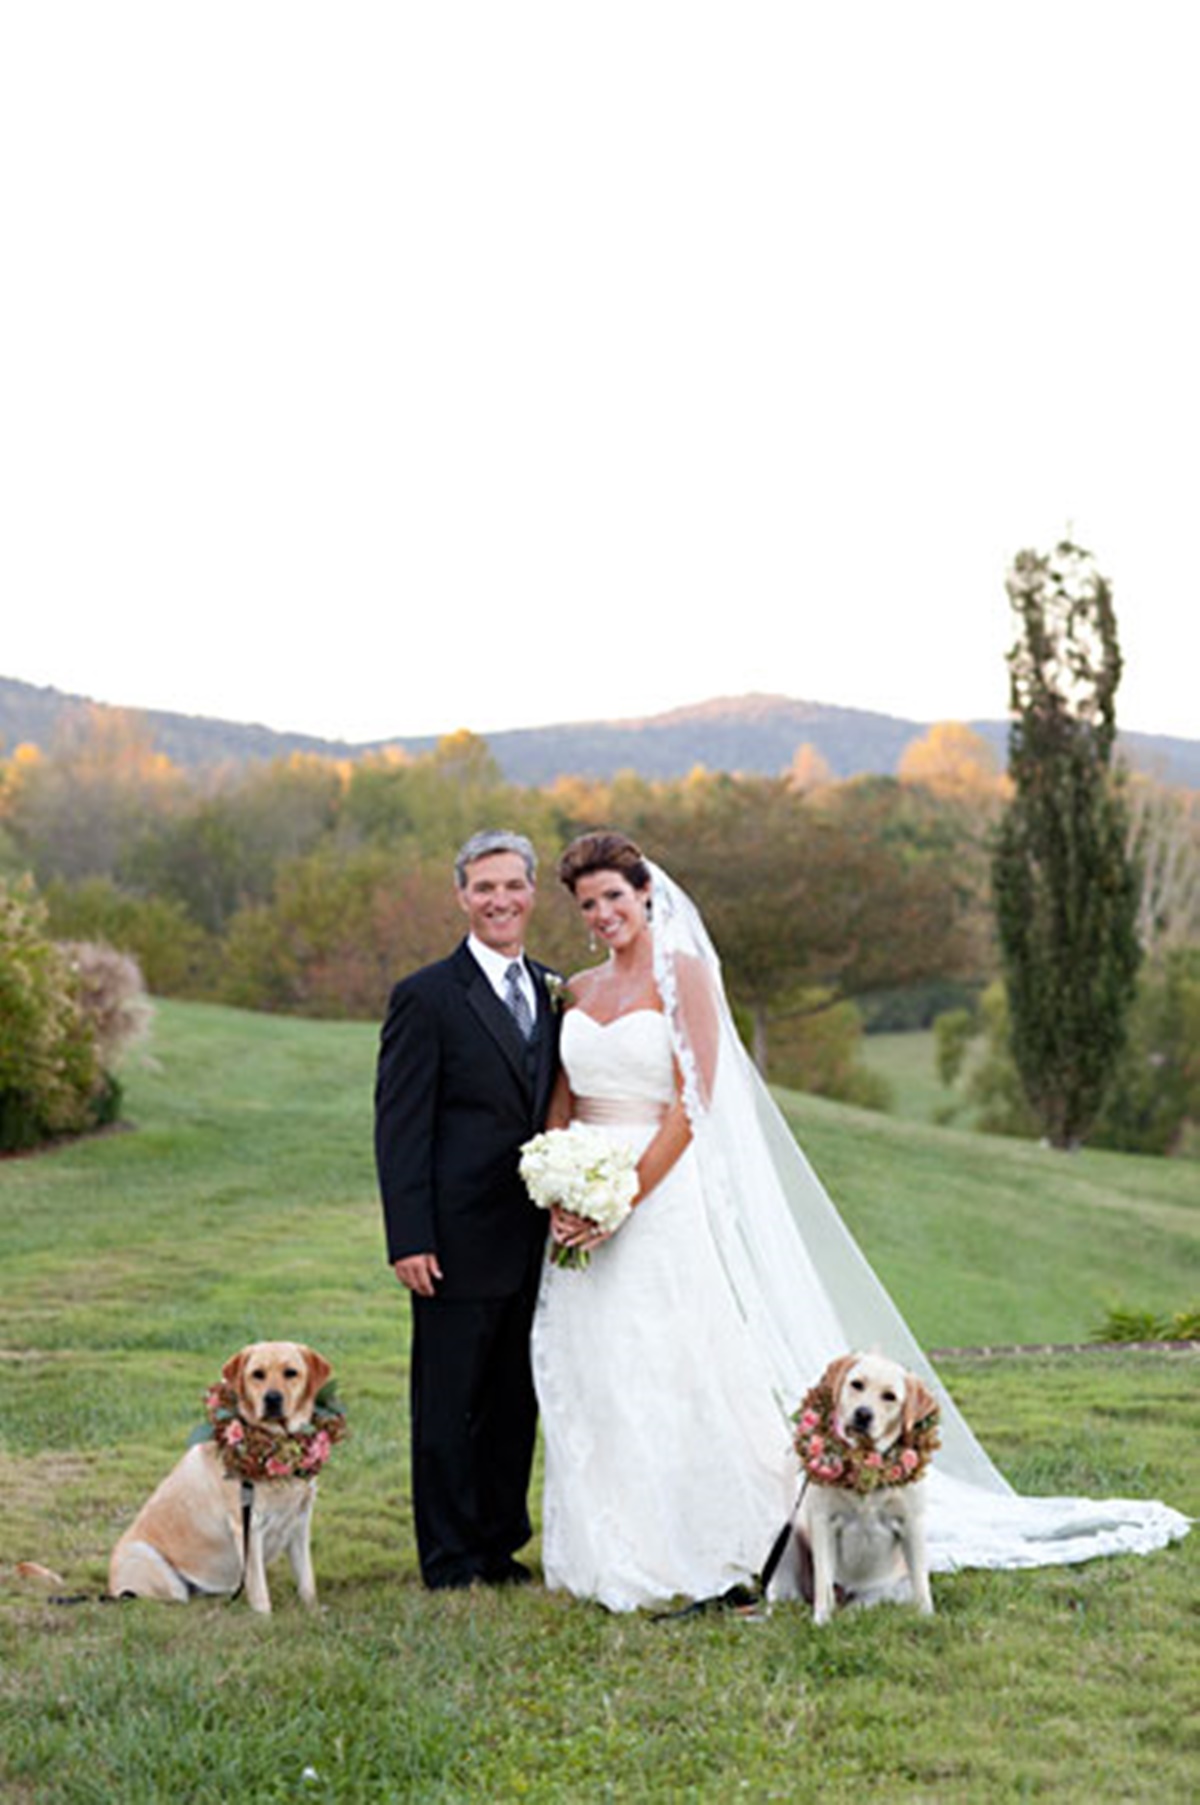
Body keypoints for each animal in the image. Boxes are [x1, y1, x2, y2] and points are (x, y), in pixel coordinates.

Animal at [108, 1342, 337, 1624]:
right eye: (257, 1374)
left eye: (291, 1373)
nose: (272, 1399)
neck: (277, 1447)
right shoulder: (248, 1526)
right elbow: (259, 1588)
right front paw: (265, 1621)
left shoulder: (300, 1523)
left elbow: (307, 1579)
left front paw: (314, 1612)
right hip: (155, 1568)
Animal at [783, 1350, 938, 1631]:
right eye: (857, 1384)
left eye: (889, 1396)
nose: (863, 1414)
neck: (864, 1464)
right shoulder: (822, 1521)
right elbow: (823, 1583)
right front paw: (821, 1620)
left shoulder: (912, 1523)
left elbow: (922, 1585)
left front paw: (927, 1617)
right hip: (797, 1530)